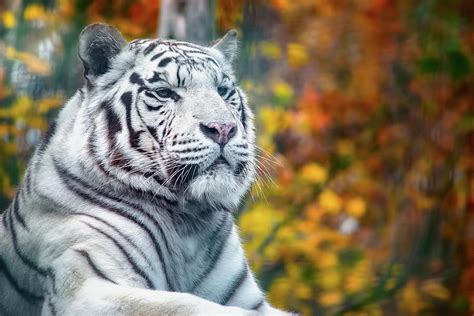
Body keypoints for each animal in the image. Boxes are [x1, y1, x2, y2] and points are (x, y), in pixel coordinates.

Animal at [0, 24, 290, 316]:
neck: (190, 225)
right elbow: (183, 303)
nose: (223, 129)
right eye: (164, 92)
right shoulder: (83, 286)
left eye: (222, 90)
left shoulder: (251, 299)